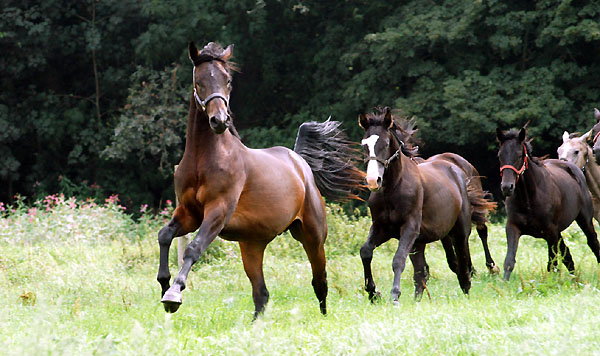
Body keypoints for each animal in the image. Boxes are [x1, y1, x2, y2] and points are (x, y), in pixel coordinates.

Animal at [157, 42, 364, 320]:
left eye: (227, 80)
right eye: (198, 81)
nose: (219, 120)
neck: (205, 158)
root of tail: (299, 162)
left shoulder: (218, 211)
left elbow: (194, 248)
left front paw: (173, 294)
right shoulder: (189, 213)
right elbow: (164, 235)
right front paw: (164, 283)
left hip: (312, 236)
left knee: (319, 281)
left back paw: (323, 317)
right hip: (252, 245)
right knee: (261, 293)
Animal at [356, 107, 492, 302]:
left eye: (386, 143)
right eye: (364, 144)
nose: (374, 180)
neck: (393, 189)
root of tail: (456, 169)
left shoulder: (409, 227)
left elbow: (398, 259)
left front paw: (394, 296)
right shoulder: (382, 228)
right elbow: (366, 252)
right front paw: (373, 293)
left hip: (459, 230)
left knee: (462, 257)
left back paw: (467, 286)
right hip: (420, 242)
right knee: (422, 272)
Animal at [496, 126, 600, 280]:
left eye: (519, 155)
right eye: (500, 156)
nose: (507, 187)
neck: (529, 199)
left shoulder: (550, 232)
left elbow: (552, 264)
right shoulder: (513, 227)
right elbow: (509, 261)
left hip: (584, 221)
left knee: (592, 242)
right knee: (567, 254)